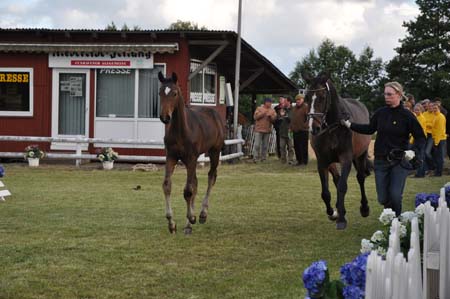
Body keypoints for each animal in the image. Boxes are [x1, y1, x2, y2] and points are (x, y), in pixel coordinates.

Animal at [158, 71, 227, 236]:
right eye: (160, 93)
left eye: (175, 93)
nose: (165, 117)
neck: (181, 130)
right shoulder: (171, 157)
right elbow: (167, 186)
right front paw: (171, 223)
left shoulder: (191, 158)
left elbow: (188, 191)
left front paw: (191, 218)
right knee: (195, 182)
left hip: (214, 152)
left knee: (211, 177)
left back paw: (202, 214)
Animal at [300, 71, 370, 231]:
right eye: (306, 98)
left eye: (322, 97)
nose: (314, 128)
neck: (332, 128)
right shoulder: (323, 161)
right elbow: (326, 192)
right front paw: (333, 213)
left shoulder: (346, 159)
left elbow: (343, 186)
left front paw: (342, 220)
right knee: (337, 179)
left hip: (360, 155)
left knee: (360, 178)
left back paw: (364, 208)